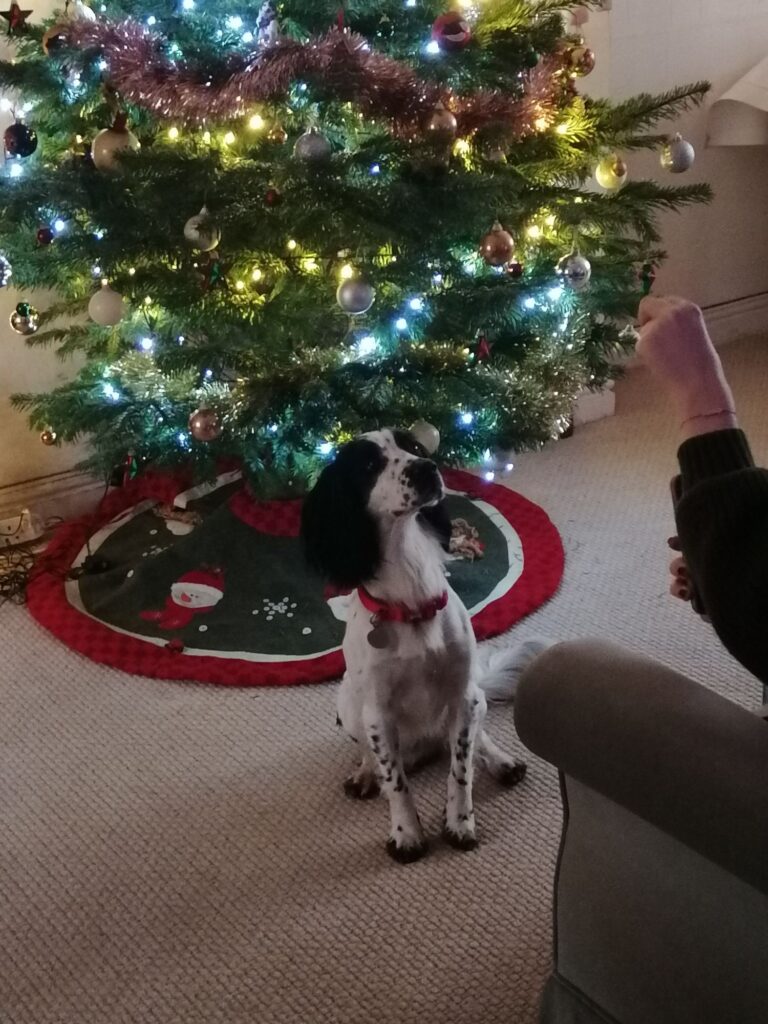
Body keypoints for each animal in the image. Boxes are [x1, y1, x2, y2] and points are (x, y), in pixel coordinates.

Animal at [301, 428, 528, 860]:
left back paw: (501, 761)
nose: (426, 468)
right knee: (371, 754)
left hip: (475, 698)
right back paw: (364, 773)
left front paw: (460, 823)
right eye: (369, 464)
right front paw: (407, 834)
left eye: (416, 447)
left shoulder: (462, 695)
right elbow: (395, 781)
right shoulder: (378, 713)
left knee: (476, 739)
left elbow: (461, 768)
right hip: (349, 703)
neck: (411, 598)